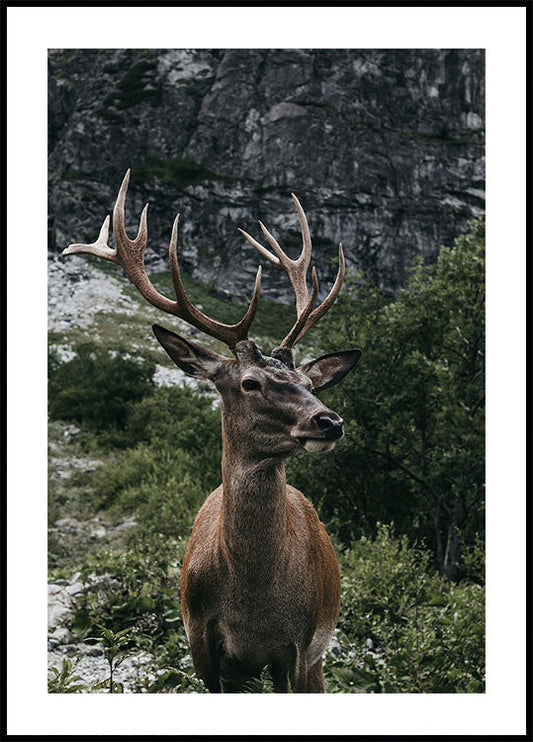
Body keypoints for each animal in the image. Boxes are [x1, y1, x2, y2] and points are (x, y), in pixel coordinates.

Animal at [63, 171, 362, 696]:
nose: (330, 421)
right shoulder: (200, 641)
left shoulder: (300, 648)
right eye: (250, 383)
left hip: (319, 655)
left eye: (308, 384)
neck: (254, 605)